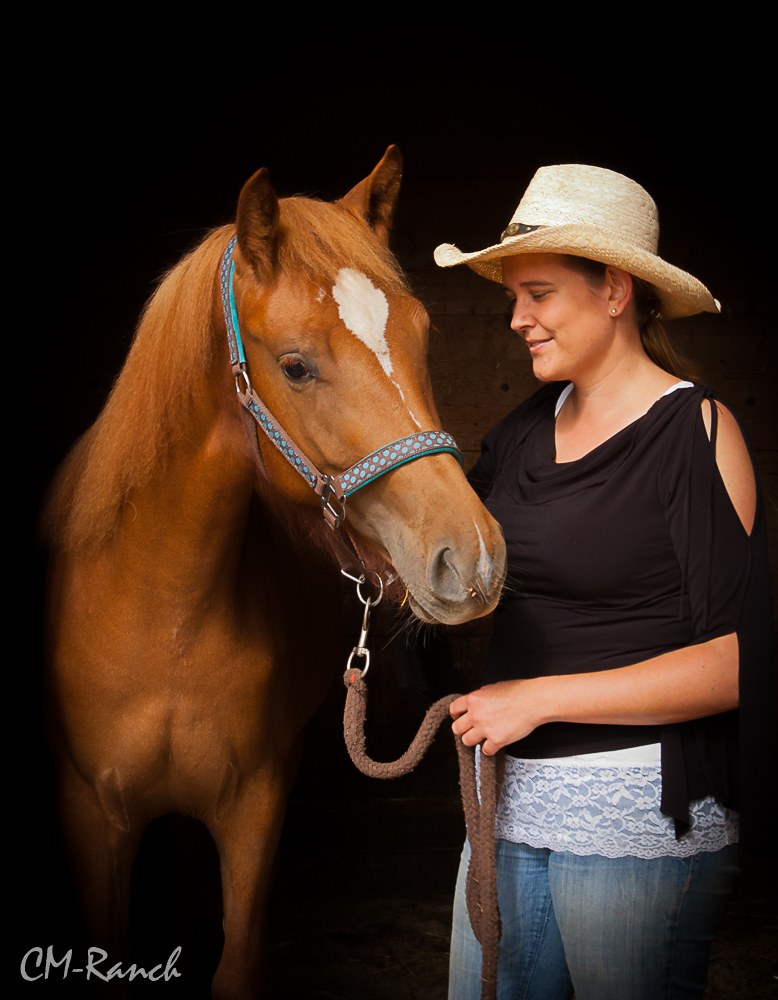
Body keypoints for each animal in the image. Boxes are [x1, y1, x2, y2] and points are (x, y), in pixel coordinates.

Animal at [41, 148, 504, 1000]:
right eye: (296, 366)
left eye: (421, 336)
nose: (474, 557)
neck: (163, 612)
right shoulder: (89, 814)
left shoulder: (254, 809)